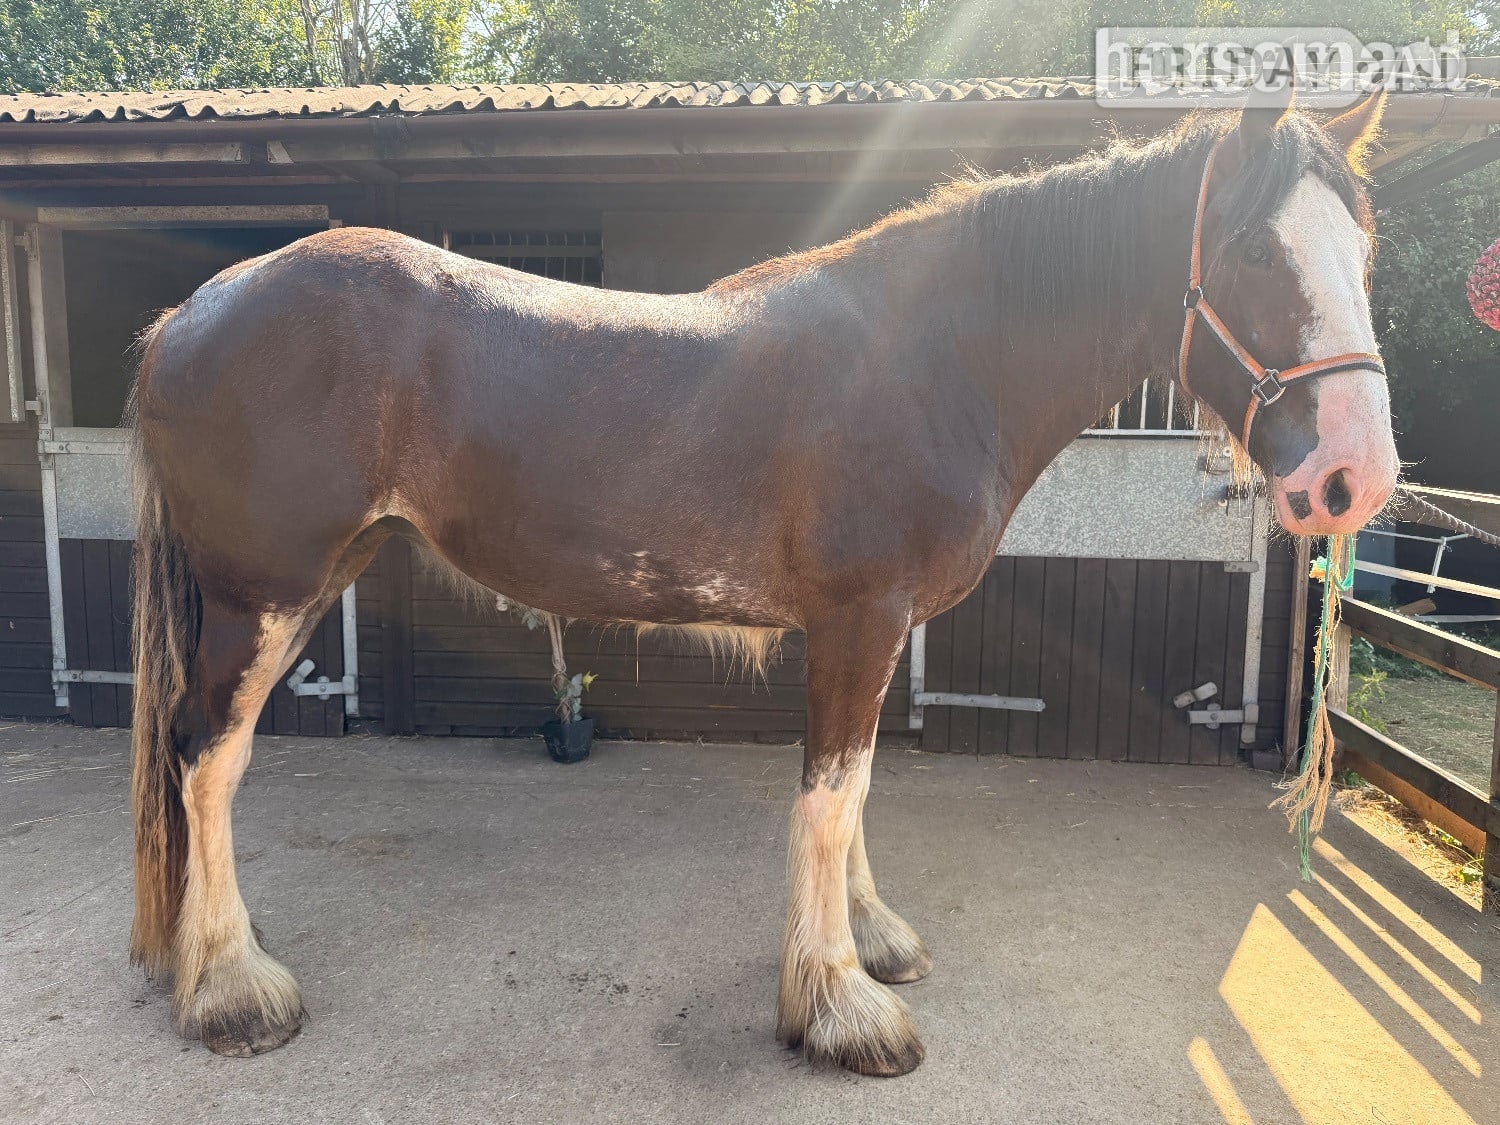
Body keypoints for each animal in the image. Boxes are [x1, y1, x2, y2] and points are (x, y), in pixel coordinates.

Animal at [126, 92, 1396, 1076]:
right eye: (1253, 251)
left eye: (1366, 248)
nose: (1356, 475)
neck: (934, 358)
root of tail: (190, 312)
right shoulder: (858, 622)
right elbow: (829, 803)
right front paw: (840, 1009)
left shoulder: (874, 633)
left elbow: (859, 788)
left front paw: (871, 943)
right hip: (264, 597)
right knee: (206, 758)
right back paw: (232, 990)